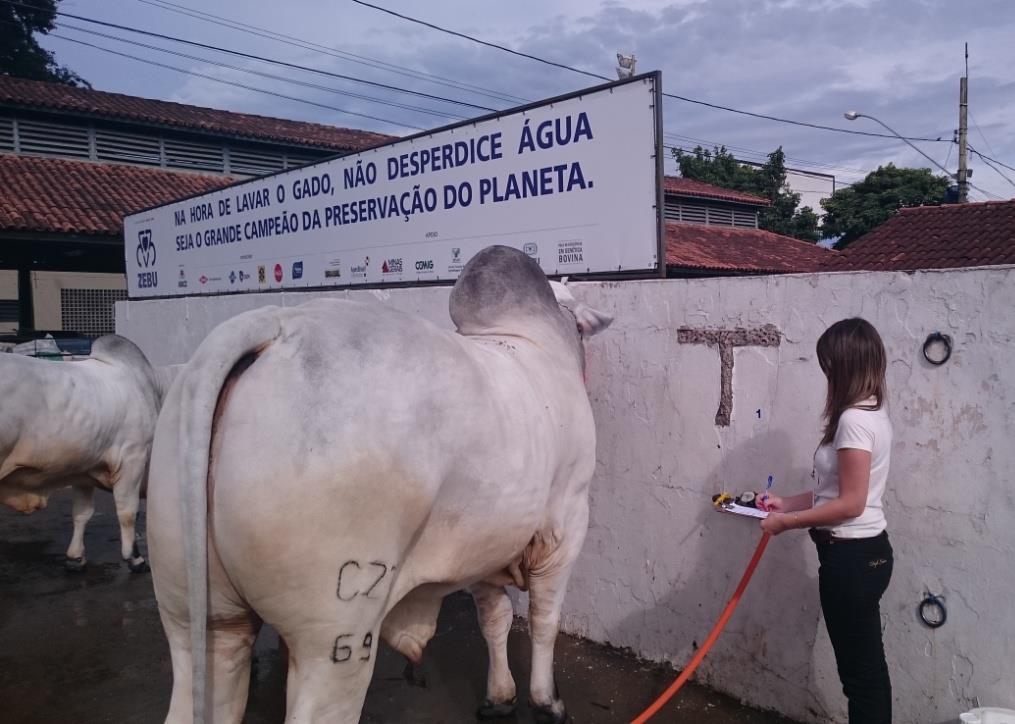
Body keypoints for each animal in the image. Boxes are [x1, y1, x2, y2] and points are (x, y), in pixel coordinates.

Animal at [0, 333, 162, 568]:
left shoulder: (82, 469)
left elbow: (81, 513)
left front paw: (75, 557)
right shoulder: (132, 458)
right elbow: (129, 511)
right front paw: (135, 558)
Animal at [148, 245, 609, 718]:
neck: (526, 336)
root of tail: (278, 326)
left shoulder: (488, 542)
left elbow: (494, 620)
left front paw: (499, 697)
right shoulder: (565, 526)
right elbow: (544, 621)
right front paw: (546, 700)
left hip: (197, 617)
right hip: (336, 634)